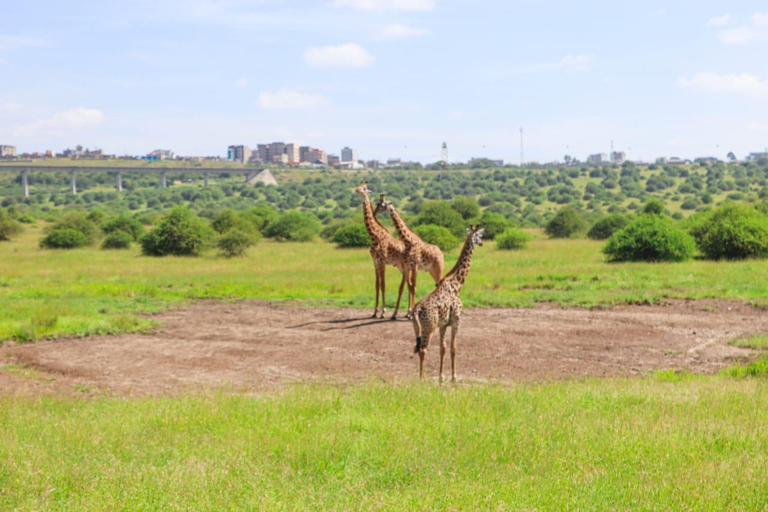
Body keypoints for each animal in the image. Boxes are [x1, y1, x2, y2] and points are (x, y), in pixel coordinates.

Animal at [356, 183, 412, 320]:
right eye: (359, 186)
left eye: (364, 188)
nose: (356, 190)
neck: (375, 236)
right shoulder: (375, 262)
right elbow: (377, 285)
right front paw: (375, 312)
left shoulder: (382, 262)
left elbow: (383, 285)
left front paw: (383, 312)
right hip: (401, 267)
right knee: (409, 284)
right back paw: (407, 313)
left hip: (406, 267)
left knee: (410, 284)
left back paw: (408, 312)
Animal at [412, 226, 484, 382]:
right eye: (480, 236)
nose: (482, 243)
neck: (457, 284)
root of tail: (417, 309)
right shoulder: (457, 320)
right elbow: (453, 347)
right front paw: (454, 377)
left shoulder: (443, 324)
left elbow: (442, 349)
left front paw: (441, 377)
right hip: (429, 327)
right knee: (423, 349)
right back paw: (422, 378)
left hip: (417, 328)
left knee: (418, 348)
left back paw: (422, 377)